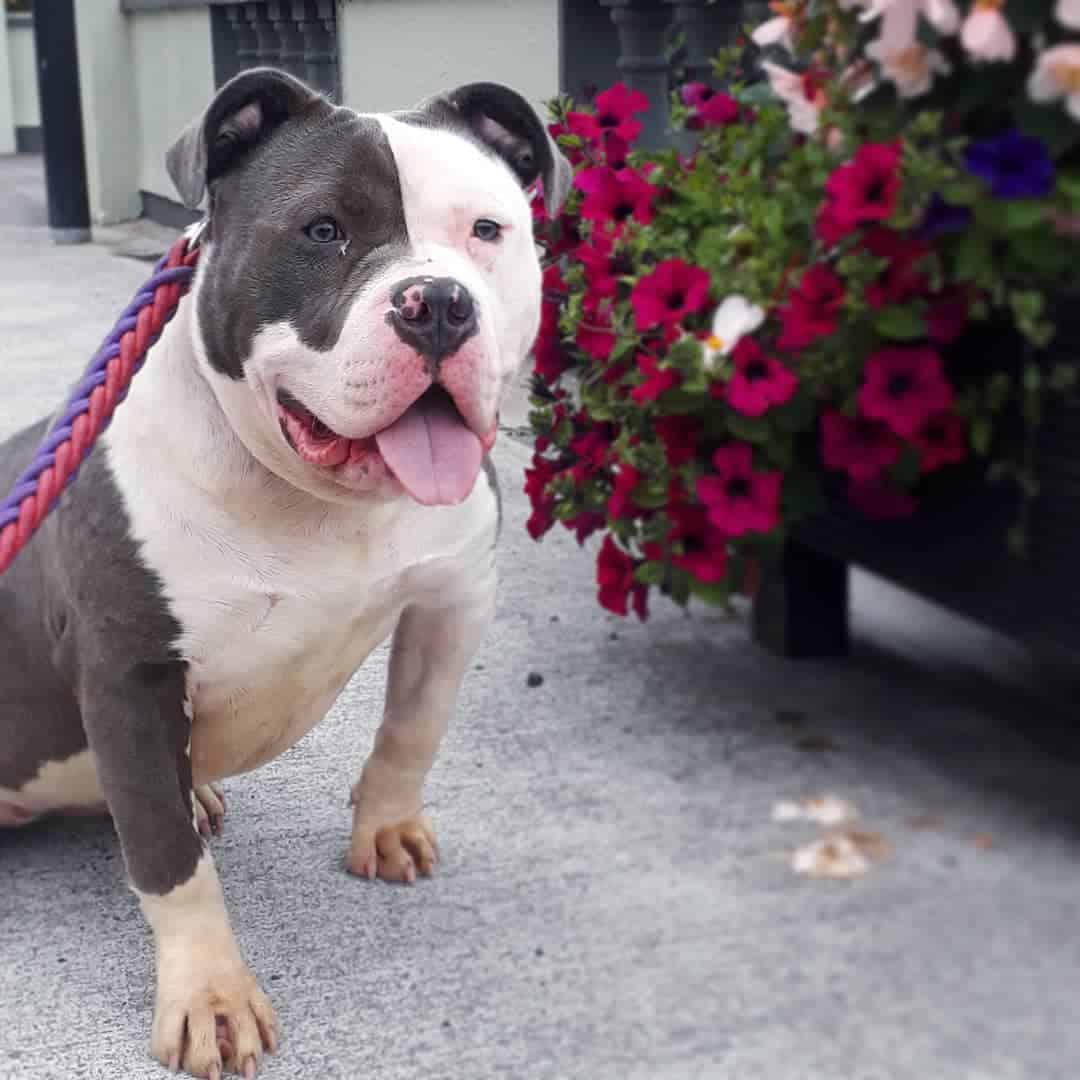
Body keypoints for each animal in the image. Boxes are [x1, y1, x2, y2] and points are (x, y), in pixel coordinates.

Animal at [0, 69, 570, 1080]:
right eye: (322, 229)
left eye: (487, 230)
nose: (439, 303)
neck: (316, 501)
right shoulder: (126, 673)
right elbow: (170, 864)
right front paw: (210, 996)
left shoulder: (454, 594)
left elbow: (414, 727)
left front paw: (386, 826)